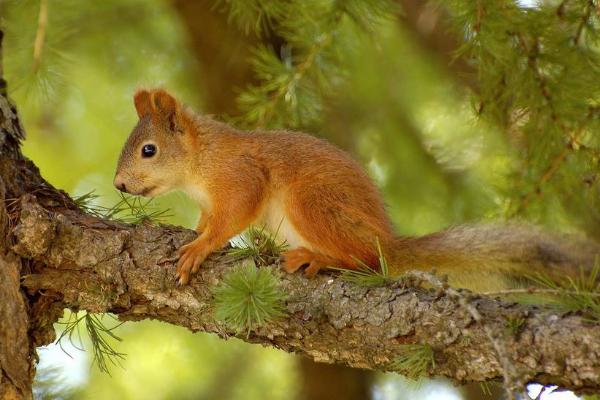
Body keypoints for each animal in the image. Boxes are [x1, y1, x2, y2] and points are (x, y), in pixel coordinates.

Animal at [113, 89, 600, 290]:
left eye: (149, 151)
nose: (118, 184)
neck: (200, 162)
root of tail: (387, 240)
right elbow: (208, 219)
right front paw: (196, 232)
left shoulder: (242, 176)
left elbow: (233, 217)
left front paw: (200, 247)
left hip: (312, 204)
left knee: (366, 261)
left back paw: (318, 257)